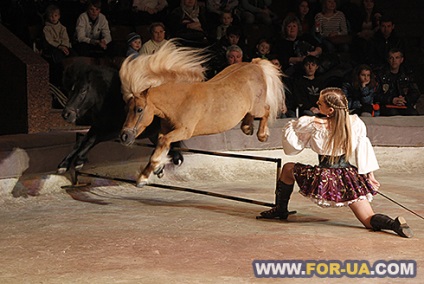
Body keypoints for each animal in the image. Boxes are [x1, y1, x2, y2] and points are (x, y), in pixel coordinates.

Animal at [119, 40, 284, 186]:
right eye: (126, 109)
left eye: (139, 109)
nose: (124, 136)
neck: (179, 101)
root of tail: (255, 64)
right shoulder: (165, 131)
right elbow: (161, 145)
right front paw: (155, 169)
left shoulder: (184, 131)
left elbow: (161, 145)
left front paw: (144, 177)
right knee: (249, 120)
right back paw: (248, 128)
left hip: (257, 107)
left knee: (266, 110)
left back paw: (262, 135)